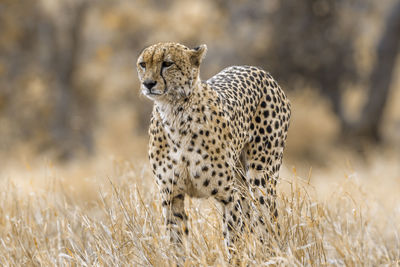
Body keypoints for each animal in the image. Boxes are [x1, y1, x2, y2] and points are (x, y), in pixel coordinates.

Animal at [136, 42, 290, 255]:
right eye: (143, 64)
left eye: (167, 63)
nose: (148, 84)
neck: (174, 114)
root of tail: (258, 70)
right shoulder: (171, 195)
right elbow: (177, 244)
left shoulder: (228, 196)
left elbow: (233, 243)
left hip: (261, 180)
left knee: (268, 223)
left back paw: (273, 254)